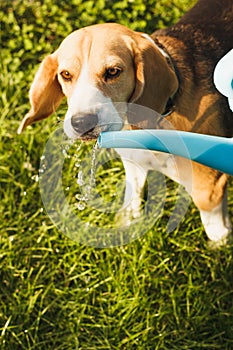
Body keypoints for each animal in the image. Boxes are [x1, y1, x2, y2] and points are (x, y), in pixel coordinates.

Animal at [18, 0, 233, 245]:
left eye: (113, 71)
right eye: (65, 74)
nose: (81, 123)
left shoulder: (207, 185)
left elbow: (213, 224)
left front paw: (219, 246)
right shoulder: (134, 161)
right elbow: (132, 197)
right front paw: (126, 223)